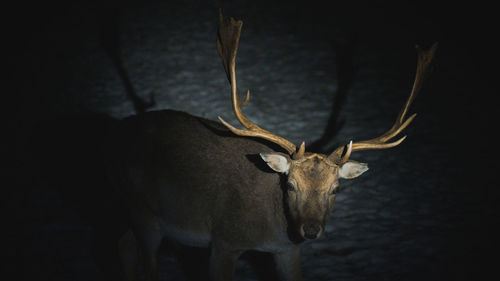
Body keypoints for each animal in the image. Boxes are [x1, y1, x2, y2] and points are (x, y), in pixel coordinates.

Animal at [108, 10, 434, 280]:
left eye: (335, 189)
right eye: (290, 184)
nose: (310, 231)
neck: (271, 229)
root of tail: (120, 128)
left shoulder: (288, 250)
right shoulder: (224, 239)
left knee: (123, 246)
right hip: (143, 211)